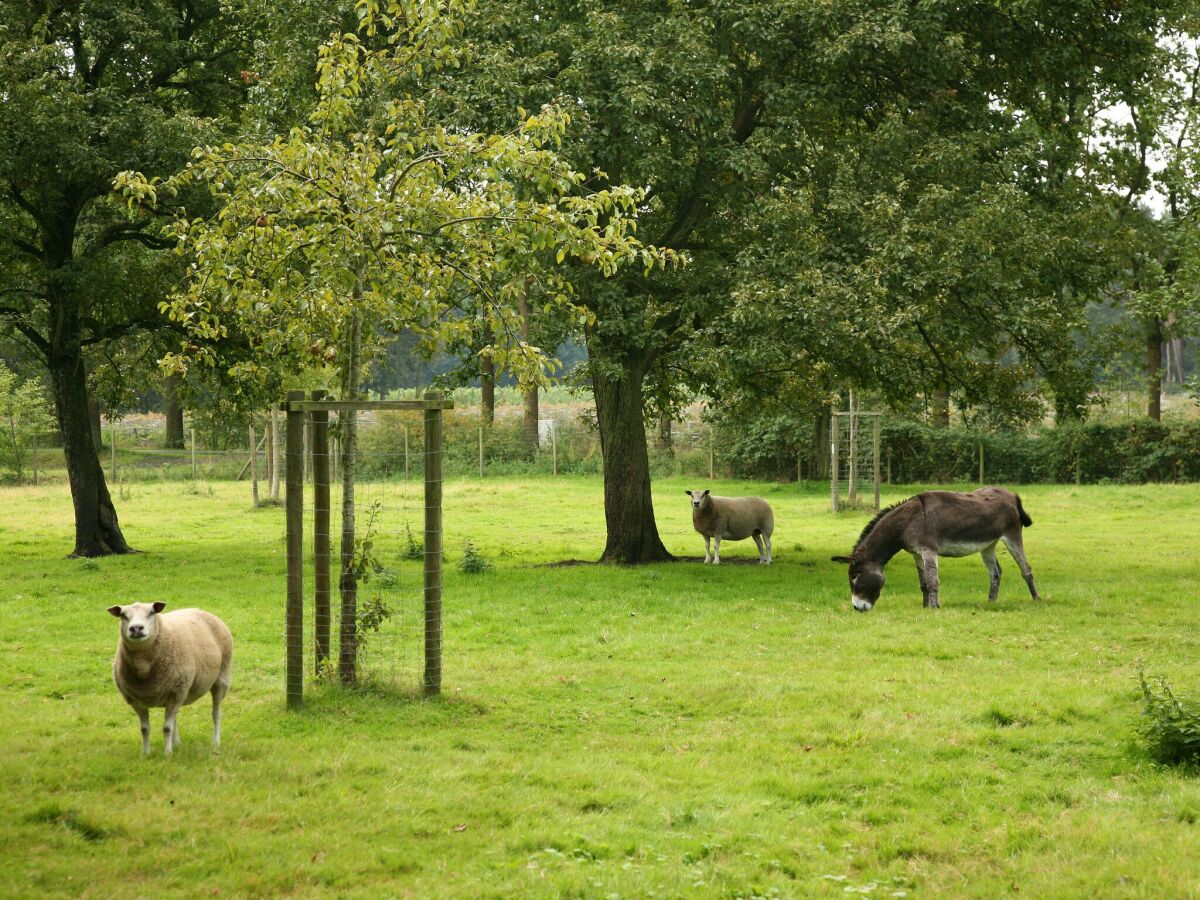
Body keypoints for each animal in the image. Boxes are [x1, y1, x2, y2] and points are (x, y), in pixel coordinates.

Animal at [108, 602, 231, 758]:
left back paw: (215, 743)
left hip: (220, 679)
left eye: (151, 613)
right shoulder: (136, 700)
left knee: (216, 714)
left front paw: (167, 754)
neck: (144, 668)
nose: (136, 628)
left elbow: (166, 728)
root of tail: (201, 609)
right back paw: (177, 744)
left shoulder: (175, 694)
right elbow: (144, 729)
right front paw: (146, 754)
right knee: (175, 718)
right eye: (123, 615)